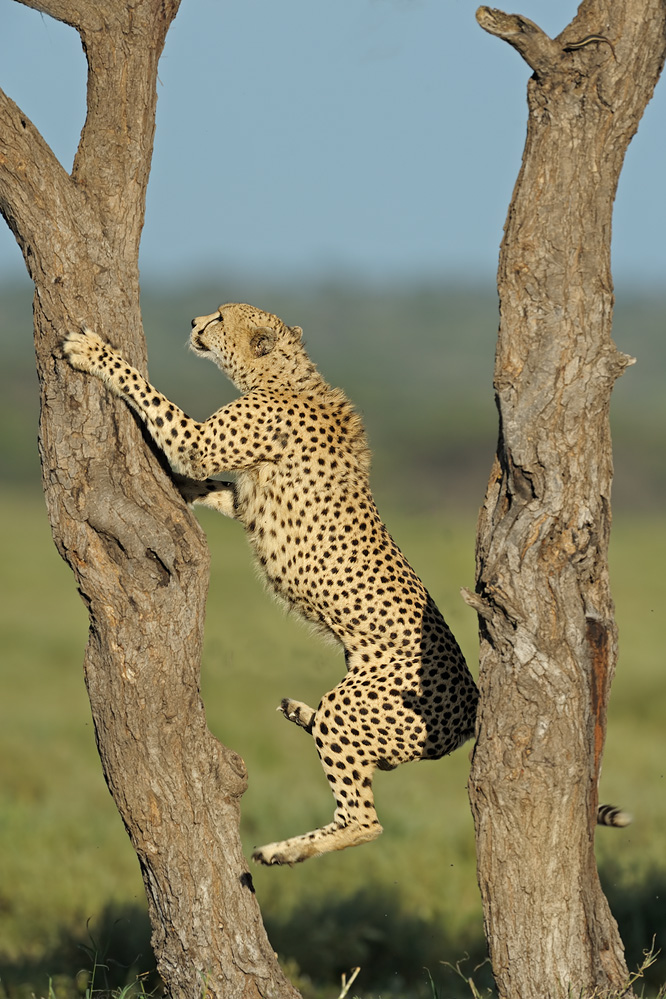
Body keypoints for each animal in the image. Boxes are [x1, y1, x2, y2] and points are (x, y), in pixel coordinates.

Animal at [63, 300, 478, 864]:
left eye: (220, 317)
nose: (193, 322)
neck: (284, 373)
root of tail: (472, 703)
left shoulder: (198, 442)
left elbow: (151, 398)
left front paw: (93, 352)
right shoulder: (240, 494)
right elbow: (213, 486)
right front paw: (175, 485)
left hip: (358, 708)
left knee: (364, 819)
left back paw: (281, 850)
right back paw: (300, 713)